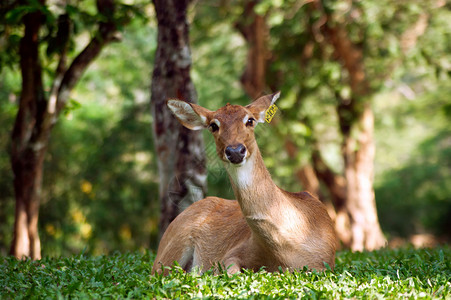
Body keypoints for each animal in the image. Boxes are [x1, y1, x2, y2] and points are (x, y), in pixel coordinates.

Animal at [154, 92, 338, 276]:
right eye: (213, 125)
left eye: (250, 120)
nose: (235, 151)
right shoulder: (232, 254)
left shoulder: (324, 264)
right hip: (170, 253)